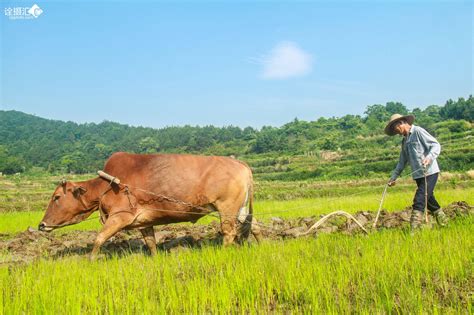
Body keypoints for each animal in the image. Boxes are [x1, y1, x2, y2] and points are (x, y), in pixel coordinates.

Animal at [39, 153, 262, 260]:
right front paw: (155, 259)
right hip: (241, 208)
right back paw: (262, 246)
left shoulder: (120, 217)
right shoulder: (144, 223)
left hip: (227, 209)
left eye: (56, 197)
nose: (41, 225)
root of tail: (241, 164)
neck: (108, 185)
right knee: (255, 226)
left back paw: (224, 251)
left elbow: (99, 238)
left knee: (229, 233)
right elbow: (151, 243)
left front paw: (90, 260)